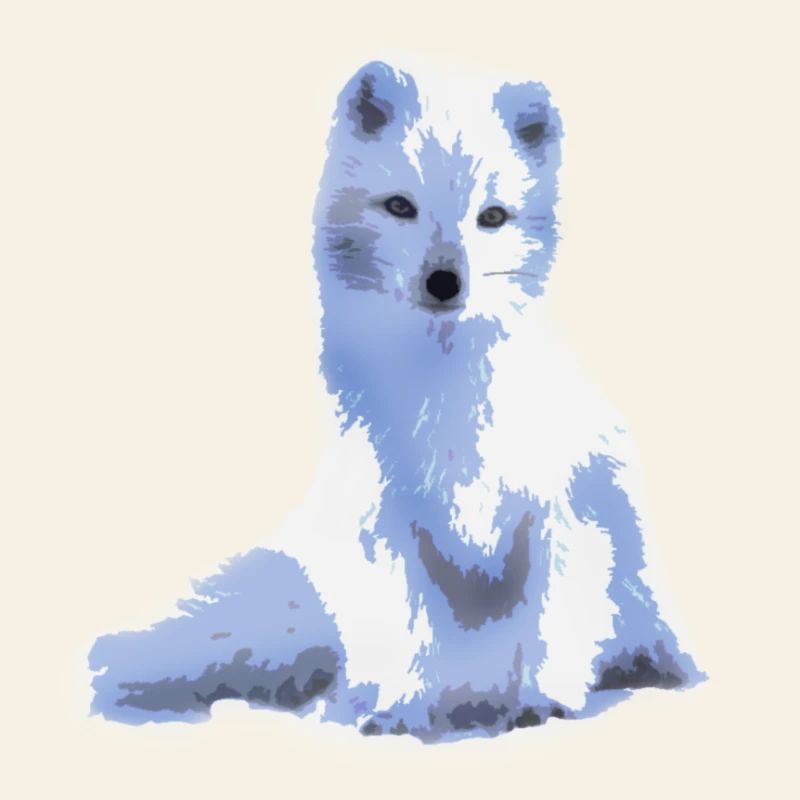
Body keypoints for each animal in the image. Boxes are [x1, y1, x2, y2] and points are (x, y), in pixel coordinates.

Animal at [89, 60, 704, 742]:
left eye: (493, 217)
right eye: (400, 207)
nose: (444, 281)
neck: (449, 400)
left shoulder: (563, 508)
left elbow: (553, 622)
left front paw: (543, 702)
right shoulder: (383, 517)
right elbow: (407, 625)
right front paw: (397, 710)